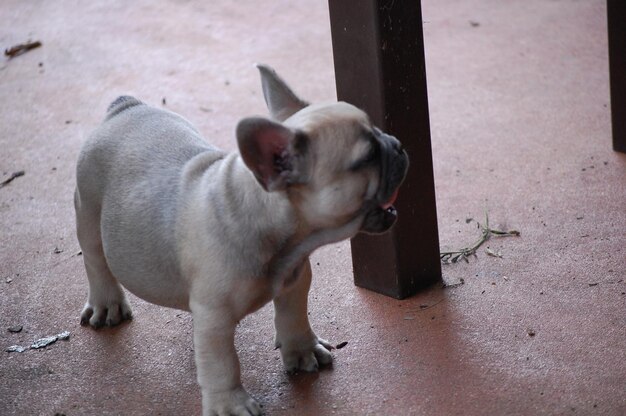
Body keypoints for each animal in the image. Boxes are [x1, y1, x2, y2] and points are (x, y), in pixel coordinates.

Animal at [75, 65, 408, 416]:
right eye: (368, 156)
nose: (398, 143)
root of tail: (125, 107)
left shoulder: (295, 280)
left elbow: (294, 315)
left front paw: (302, 350)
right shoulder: (215, 318)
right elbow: (222, 364)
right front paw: (229, 404)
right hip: (88, 212)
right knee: (96, 260)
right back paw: (106, 303)